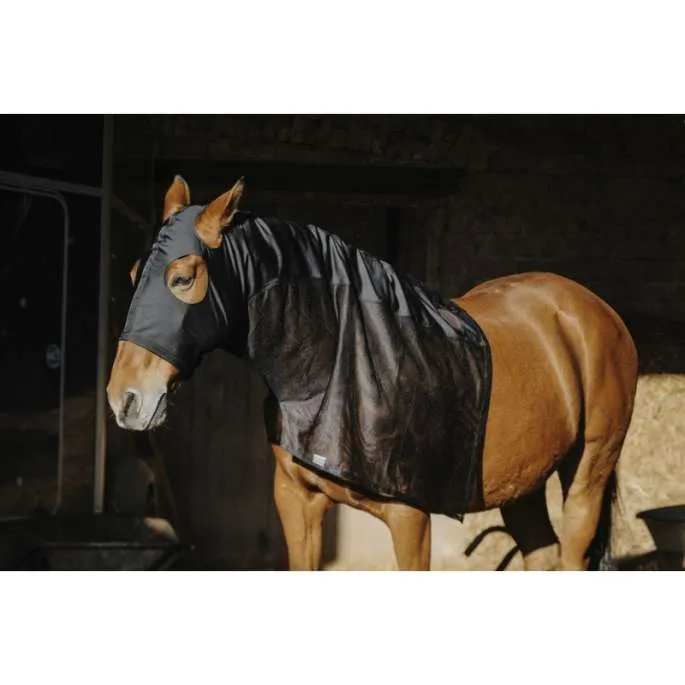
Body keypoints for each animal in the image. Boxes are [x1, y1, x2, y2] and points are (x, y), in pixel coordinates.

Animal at [107, 175, 639, 571]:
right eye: (133, 274)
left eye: (182, 278)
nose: (123, 400)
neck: (337, 361)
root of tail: (593, 310)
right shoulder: (297, 502)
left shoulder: (409, 519)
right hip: (523, 484)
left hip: (588, 473)